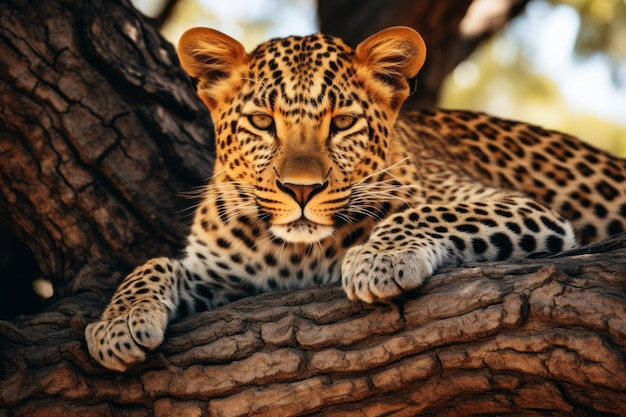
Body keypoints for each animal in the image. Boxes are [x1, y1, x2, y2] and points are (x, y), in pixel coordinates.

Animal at [84, 26, 624, 370]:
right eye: (262, 122)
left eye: (342, 122)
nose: (301, 189)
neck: (294, 255)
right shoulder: (221, 279)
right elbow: (154, 263)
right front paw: (118, 322)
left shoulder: (519, 206)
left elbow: (429, 210)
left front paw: (379, 260)